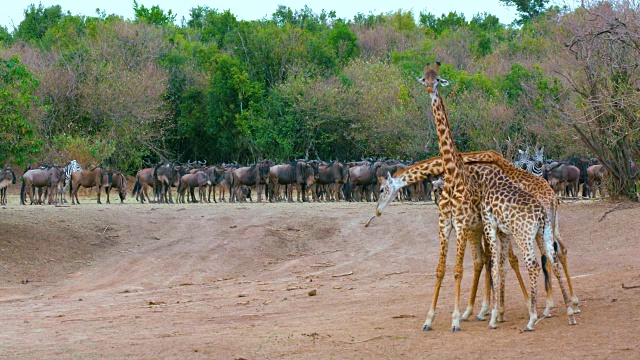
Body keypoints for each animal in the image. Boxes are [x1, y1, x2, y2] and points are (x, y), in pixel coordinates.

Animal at [376, 151, 580, 318]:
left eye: (381, 190)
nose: (377, 212)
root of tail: (552, 197)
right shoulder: (486, 226)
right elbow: (491, 260)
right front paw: (488, 308)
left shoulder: (484, 224)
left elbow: (496, 260)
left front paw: (489, 309)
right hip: (551, 225)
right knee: (559, 251)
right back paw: (571, 303)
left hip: (533, 228)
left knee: (546, 257)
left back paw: (550, 306)